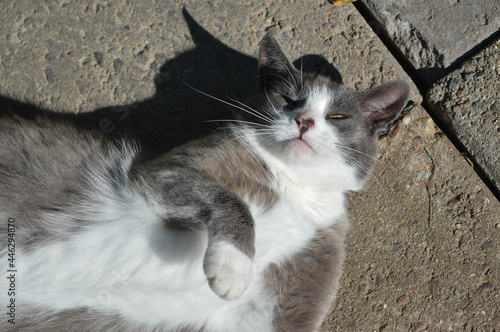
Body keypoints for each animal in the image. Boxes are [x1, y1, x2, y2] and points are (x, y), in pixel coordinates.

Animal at [0, 35, 406, 330]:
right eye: (288, 99)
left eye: (338, 116)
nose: (304, 120)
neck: (295, 187)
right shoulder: (163, 171)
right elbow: (229, 200)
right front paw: (233, 265)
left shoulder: (292, 291)